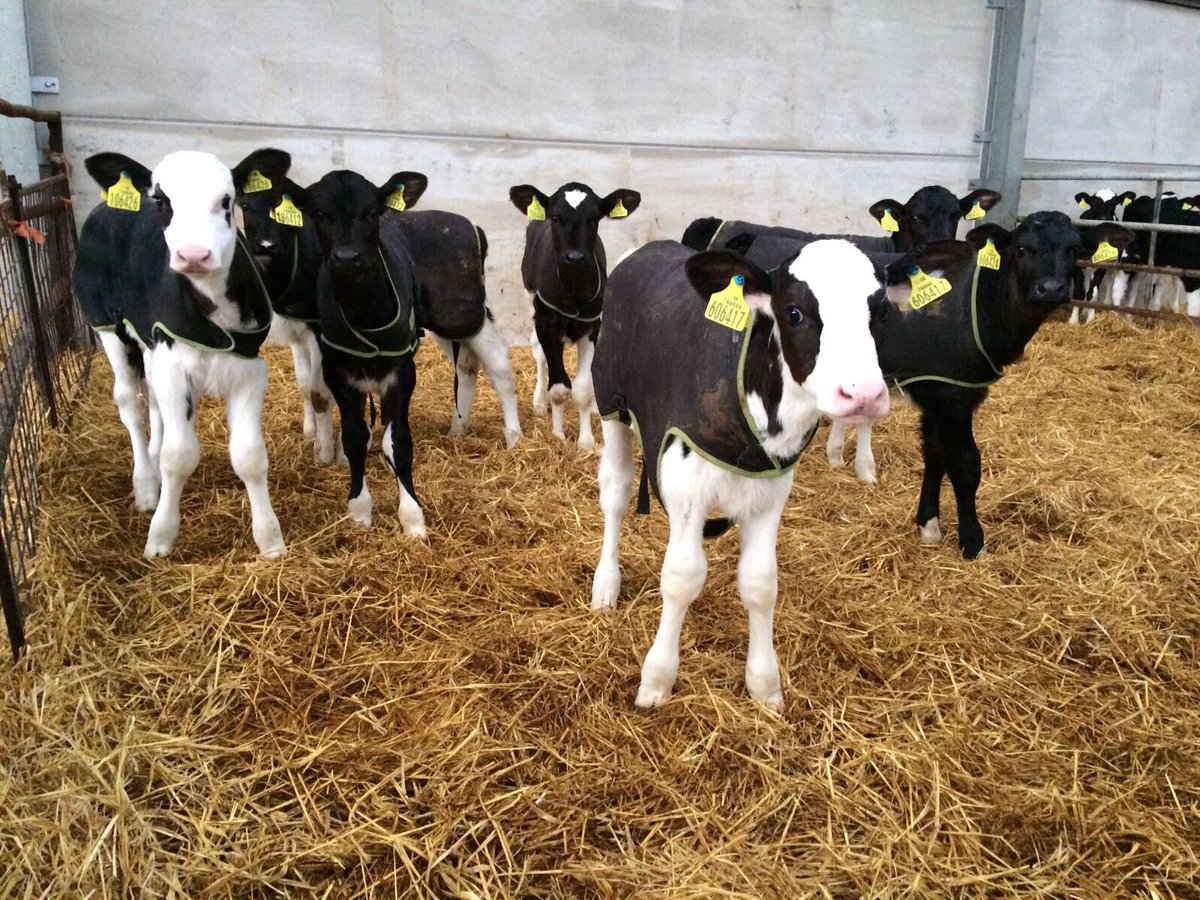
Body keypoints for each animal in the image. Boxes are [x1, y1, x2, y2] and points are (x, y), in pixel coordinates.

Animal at [73, 149, 289, 559]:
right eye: (161, 200)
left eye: (227, 200)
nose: (194, 255)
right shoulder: (175, 369)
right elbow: (179, 457)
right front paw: (161, 536)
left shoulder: (249, 372)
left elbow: (251, 457)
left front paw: (270, 539)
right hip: (106, 324)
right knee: (130, 402)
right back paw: (145, 485)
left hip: (150, 343)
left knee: (154, 402)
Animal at [287, 170, 427, 536]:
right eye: (319, 213)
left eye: (370, 212)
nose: (347, 258)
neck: (365, 312)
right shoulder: (338, 373)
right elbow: (353, 437)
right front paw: (360, 509)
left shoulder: (403, 372)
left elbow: (399, 441)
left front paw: (412, 517)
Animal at [508, 182, 641, 448]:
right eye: (556, 218)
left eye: (594, 219)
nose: (576, 257)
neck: (574, 290)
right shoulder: (547, 325)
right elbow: (559, 388)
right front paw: (558, 435)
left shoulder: (592, 327)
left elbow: (582, 389)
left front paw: (586, 441)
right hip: (529, 297)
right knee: (538, 354)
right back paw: (540, 402)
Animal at [590, 239, 889, 708]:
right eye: (794, 313)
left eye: (881, 312)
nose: (863, 395)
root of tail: (650, 245)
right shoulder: (686, 488)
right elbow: (682, 578)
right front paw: (657, 680)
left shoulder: (771, 495)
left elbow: (761, 582)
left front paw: (764, 685)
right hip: (610, 404)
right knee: (616, 494)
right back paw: (606, 585)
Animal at [875, 213, 1133, 559]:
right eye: (1021, 248)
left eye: (1074, 248)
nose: (1050, 289)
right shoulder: (952, 396)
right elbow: (966, 465)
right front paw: (972, 542)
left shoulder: (937, 390)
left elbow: (935, 454)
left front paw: (929, 526)